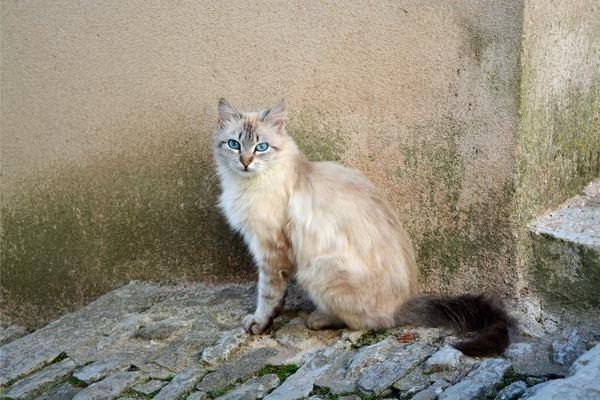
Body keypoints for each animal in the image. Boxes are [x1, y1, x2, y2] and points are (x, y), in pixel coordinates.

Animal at [211, 98, 510, 354]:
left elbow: (267, 294)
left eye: (261, 147)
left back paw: (318, 319)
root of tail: (403, 304)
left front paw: (259, 323)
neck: (247, 185)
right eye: (234, 144)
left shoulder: (271, 250)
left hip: (317, 271)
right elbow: (275, 296)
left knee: (370, 323)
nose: (245, 162)